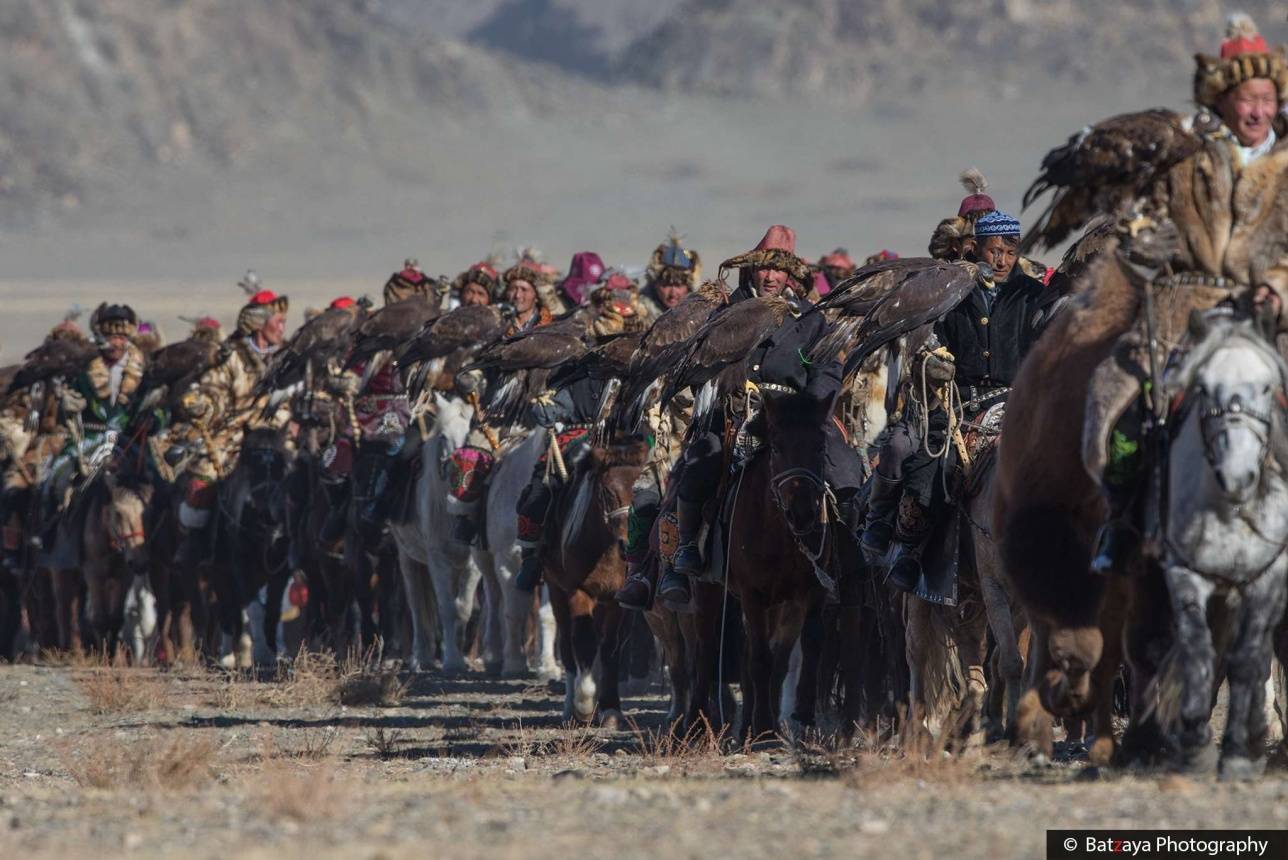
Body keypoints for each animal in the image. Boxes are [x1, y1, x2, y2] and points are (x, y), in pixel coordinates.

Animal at [543, 437, 649, 726]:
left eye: (641, 491)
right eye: (607, 492)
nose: (628, 545)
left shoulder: (615, 599)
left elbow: (610, 647)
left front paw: (610, 709)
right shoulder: (577, 592)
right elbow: (583, 640)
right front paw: (584, 703)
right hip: (556, 591)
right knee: (567, 645)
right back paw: (570, 708)